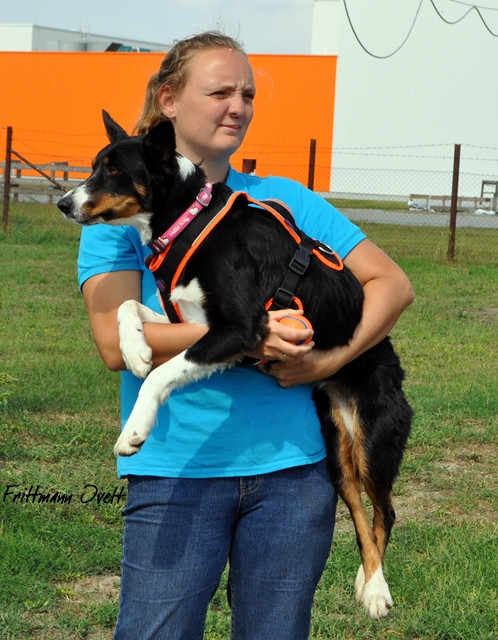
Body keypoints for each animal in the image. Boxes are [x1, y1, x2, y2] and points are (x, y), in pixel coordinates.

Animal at [58, 111, 412, 620]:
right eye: (92, 167)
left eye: (115, 171)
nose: (63, 203)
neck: (190, 219)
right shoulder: (191, 321)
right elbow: (128, 307)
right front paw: (135, 350)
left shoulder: (241, 329)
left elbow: (162, 375)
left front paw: (135, 430)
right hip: (337, 449)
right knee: (359, 508)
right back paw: (366, 583)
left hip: (374, 440)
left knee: (385, 510)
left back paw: (378, 591)